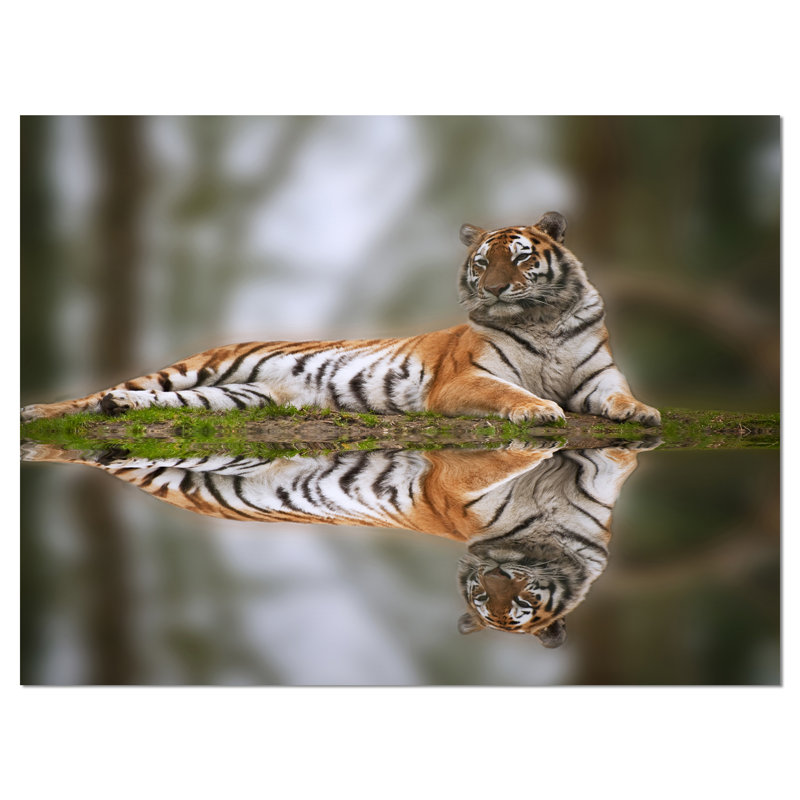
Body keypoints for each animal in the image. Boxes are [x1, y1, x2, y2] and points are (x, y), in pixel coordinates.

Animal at [21, 211, 660, 428]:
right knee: (101, 393)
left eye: (521, 258)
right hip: (191, 370)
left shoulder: (599, 379)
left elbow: (622, 397)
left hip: (233, 397)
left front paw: (645, 413)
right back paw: (42, 411)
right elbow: (511, 393)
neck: (541, 320)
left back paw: (118, 409)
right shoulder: (464, 380)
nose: (495, 287)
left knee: (151, 402)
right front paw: (538, 410)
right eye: (484, 262)